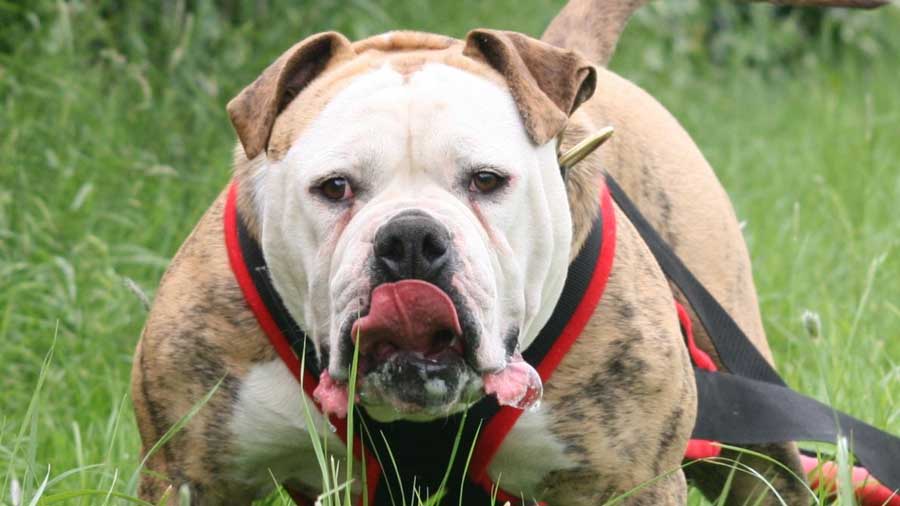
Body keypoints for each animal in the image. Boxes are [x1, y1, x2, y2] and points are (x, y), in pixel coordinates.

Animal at [132, 0, 884, 506]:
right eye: (334, 187)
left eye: (487, 181)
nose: (410, 238)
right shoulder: (190, 473)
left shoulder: (632, 477)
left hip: (746, 434)